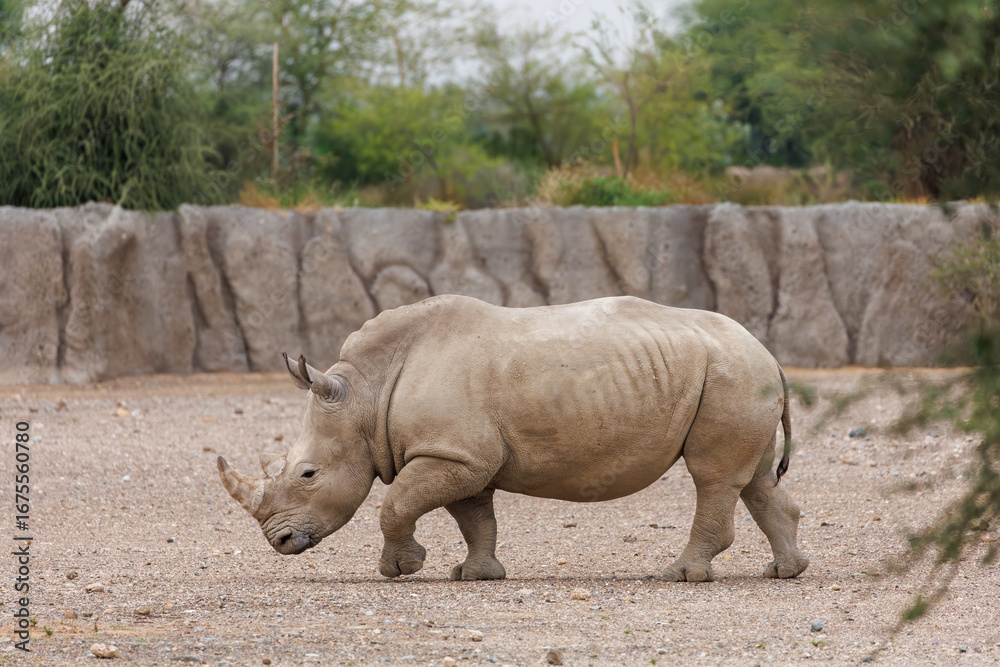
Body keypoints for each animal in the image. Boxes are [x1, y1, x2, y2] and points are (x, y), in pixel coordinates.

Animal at [218, 295, 809, 582]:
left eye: (308, 474)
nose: (279, 542)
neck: (367, 392)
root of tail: (769, 353)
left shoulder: (452, 453)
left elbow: (396, 503)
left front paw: (400, 570)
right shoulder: (462, 455)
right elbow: (474, 516)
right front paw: (475, 576)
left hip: (730, 374)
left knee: (713, 477)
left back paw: (680, 576)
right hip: (741, 376)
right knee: (755, 479)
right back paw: (784, 572)